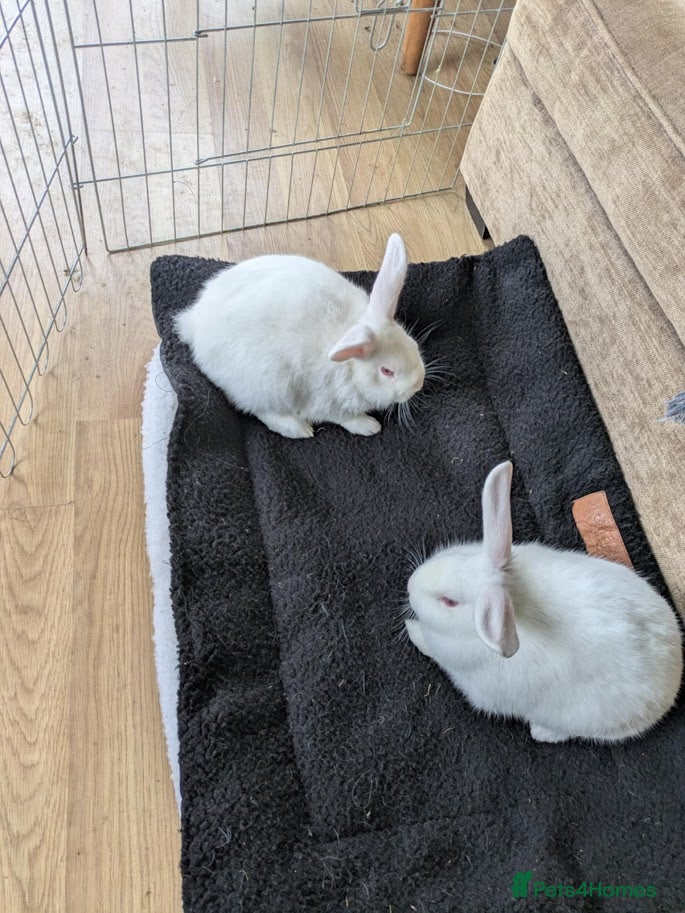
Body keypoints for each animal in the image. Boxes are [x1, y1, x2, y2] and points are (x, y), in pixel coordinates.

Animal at [174, 233, 425, 439]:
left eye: (413, 344)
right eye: (387, 371)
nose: (418, 384)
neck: (350, 368)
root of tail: (195, 323)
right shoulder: (325, 404)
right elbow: (344, 418)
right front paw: (369, 426)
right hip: (267, 384)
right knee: (259, 410)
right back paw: (298, 429)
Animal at [405, 460, 683, 743]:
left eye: (448, 601)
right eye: (457, 553)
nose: (410, 585)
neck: (514, 595)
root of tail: (673, 677)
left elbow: (425, 642)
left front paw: (411, 627)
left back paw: (541, 732)